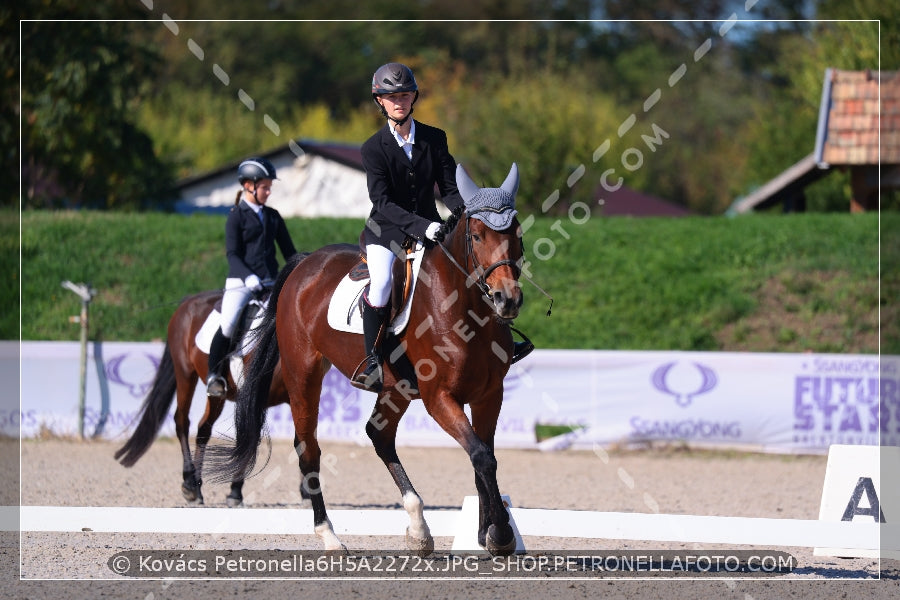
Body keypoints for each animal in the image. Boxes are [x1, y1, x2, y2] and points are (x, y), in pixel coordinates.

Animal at [116, 253, 308, 506]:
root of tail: (188, 301)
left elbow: (303, 439)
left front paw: (306, 491)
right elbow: (249, 436)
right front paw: (235, 491)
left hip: (217, 394)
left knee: (203, 428)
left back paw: (196, 485)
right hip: (185, 373)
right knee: (182, 422)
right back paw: (190, 486)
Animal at [209, 162, 520, 556]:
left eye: (517, 232)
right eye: (477, 236)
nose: (508, 299)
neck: (465, 310)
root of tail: (306, 263)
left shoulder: (489, 394)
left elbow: (486, 456)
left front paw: (487, 532)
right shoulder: (439, 398)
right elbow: (480, 455)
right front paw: (501, 534)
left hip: (396, 388)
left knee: (379, 435)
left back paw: (418, 529)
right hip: (303, 373)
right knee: (308, 448)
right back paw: (329, 535)